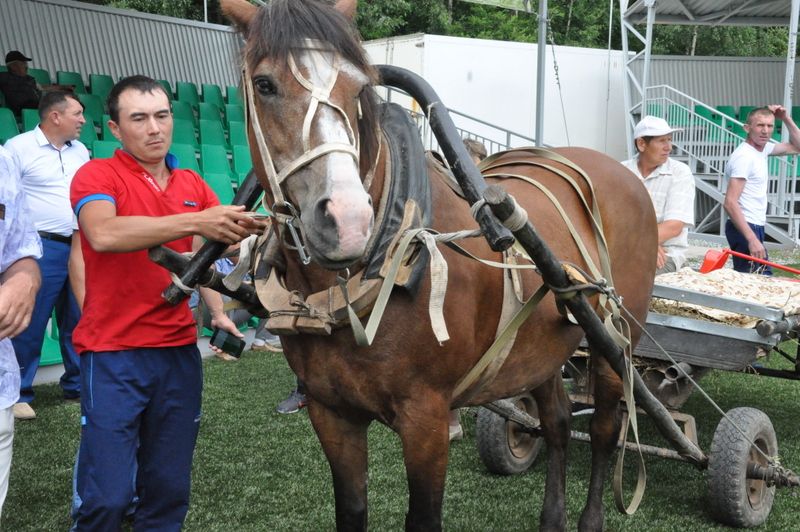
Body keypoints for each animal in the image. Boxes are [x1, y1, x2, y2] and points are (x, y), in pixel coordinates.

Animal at [219, 2, 656, 528]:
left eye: (359, 89)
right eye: (264, 84)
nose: (347, 221)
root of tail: (619, 171)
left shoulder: (426, 419)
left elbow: (424, 517)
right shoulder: (330, 411)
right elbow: (352, 507)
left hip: (615, 339)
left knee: (607, 430)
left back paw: (591, 516)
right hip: (541, 346)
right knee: (556, 421)